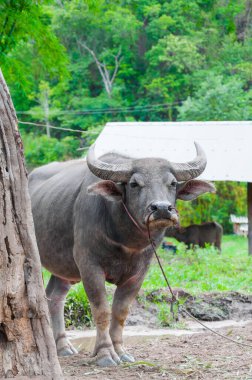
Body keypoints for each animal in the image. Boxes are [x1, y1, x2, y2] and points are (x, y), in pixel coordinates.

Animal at [29, 142, 215, 366]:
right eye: (134, 184)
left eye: (172, 183)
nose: (162, 208)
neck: (126, 241)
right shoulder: (89, 266)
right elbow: (102, 310)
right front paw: (105, 353)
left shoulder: (138, 274)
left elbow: (120, 312)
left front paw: (120, 350)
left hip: (64, 268)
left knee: (55, 296)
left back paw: (63, 346)